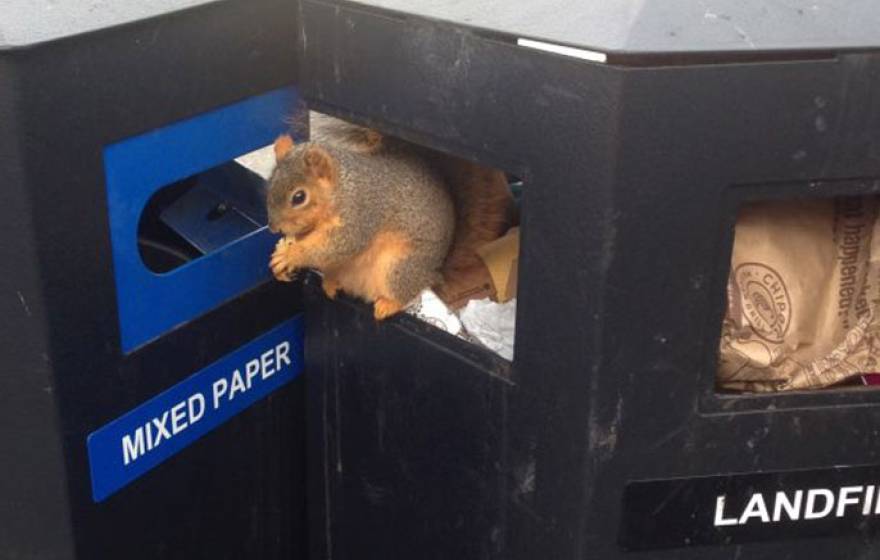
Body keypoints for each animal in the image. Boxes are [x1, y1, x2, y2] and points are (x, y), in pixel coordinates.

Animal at [268, 114, 516, 320]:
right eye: (270, 184)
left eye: (299, 197)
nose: (274, 228)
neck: (342, 189)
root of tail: (434, 275)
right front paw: (283, 252)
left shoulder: (361, 214)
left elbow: (338, 246)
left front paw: (290, 255)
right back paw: (331, 284)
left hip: (398, 268)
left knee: (404, 292)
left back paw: (388, 305)